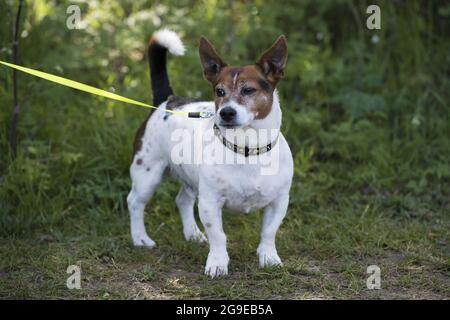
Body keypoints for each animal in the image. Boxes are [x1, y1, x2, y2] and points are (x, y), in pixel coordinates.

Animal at [128, 29, 294, 278]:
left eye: (248, 90)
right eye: (219, 91)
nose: (226, 113)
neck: (246, 148)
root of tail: (167, 100)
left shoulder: (279, 201)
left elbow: (269, 232)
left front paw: (269, 258)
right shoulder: (210, 202)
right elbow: (219, 236)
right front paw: (217, 263)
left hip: (190, 178)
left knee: (182, 200)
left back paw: (193, 234)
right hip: (147, 174)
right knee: (135, 202)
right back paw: (140, 238)